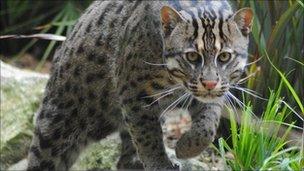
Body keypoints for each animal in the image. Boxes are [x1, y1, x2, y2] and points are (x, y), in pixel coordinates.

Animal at [27, 0, 253, 170]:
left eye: (224, 56)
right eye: (191, 56)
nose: (209, 83)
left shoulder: (211, 94)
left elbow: (208, 124)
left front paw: (186, 148)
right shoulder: (135, 95)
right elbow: (148, 138)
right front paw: (160, 165)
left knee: (123, 159)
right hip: (58, 123)